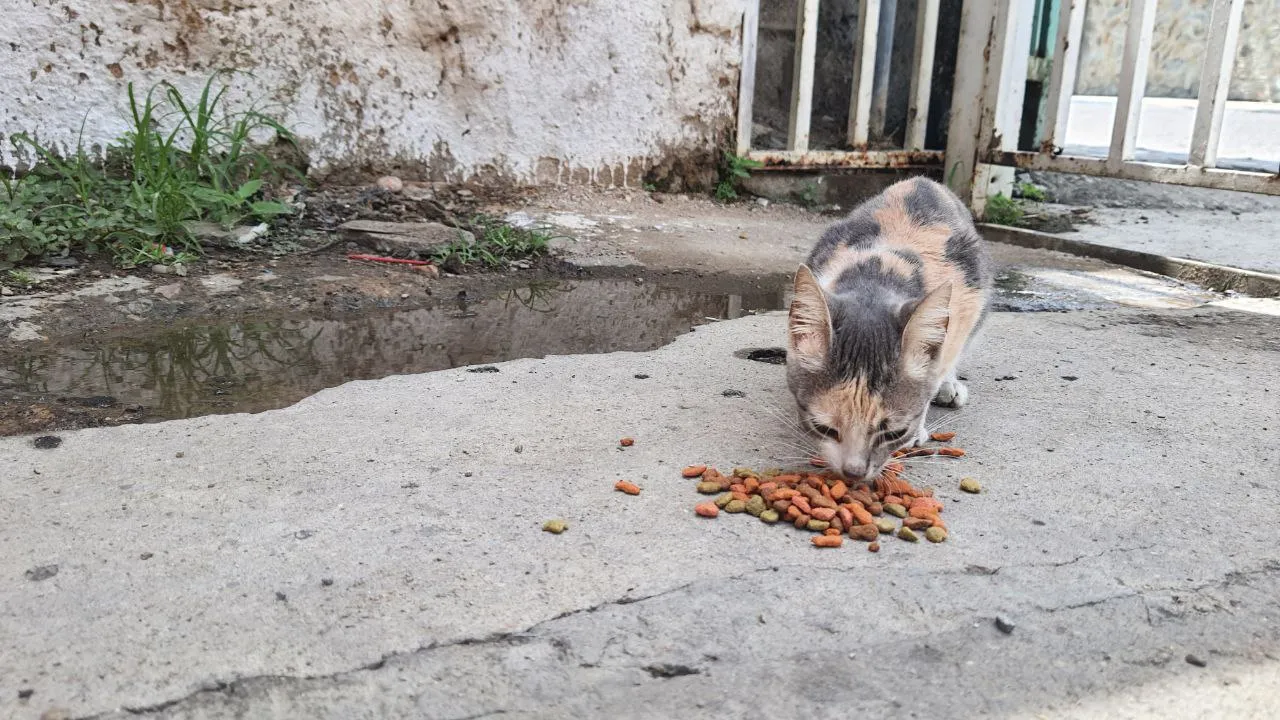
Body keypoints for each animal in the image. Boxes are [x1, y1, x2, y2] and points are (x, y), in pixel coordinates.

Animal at [783, 174, 993, 479]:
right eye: (824, 428)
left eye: (894, 432)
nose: (854, 473)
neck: (877, 275)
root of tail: (924, 180)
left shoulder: (966, 304)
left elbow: (937, 367)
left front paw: (919, 426)